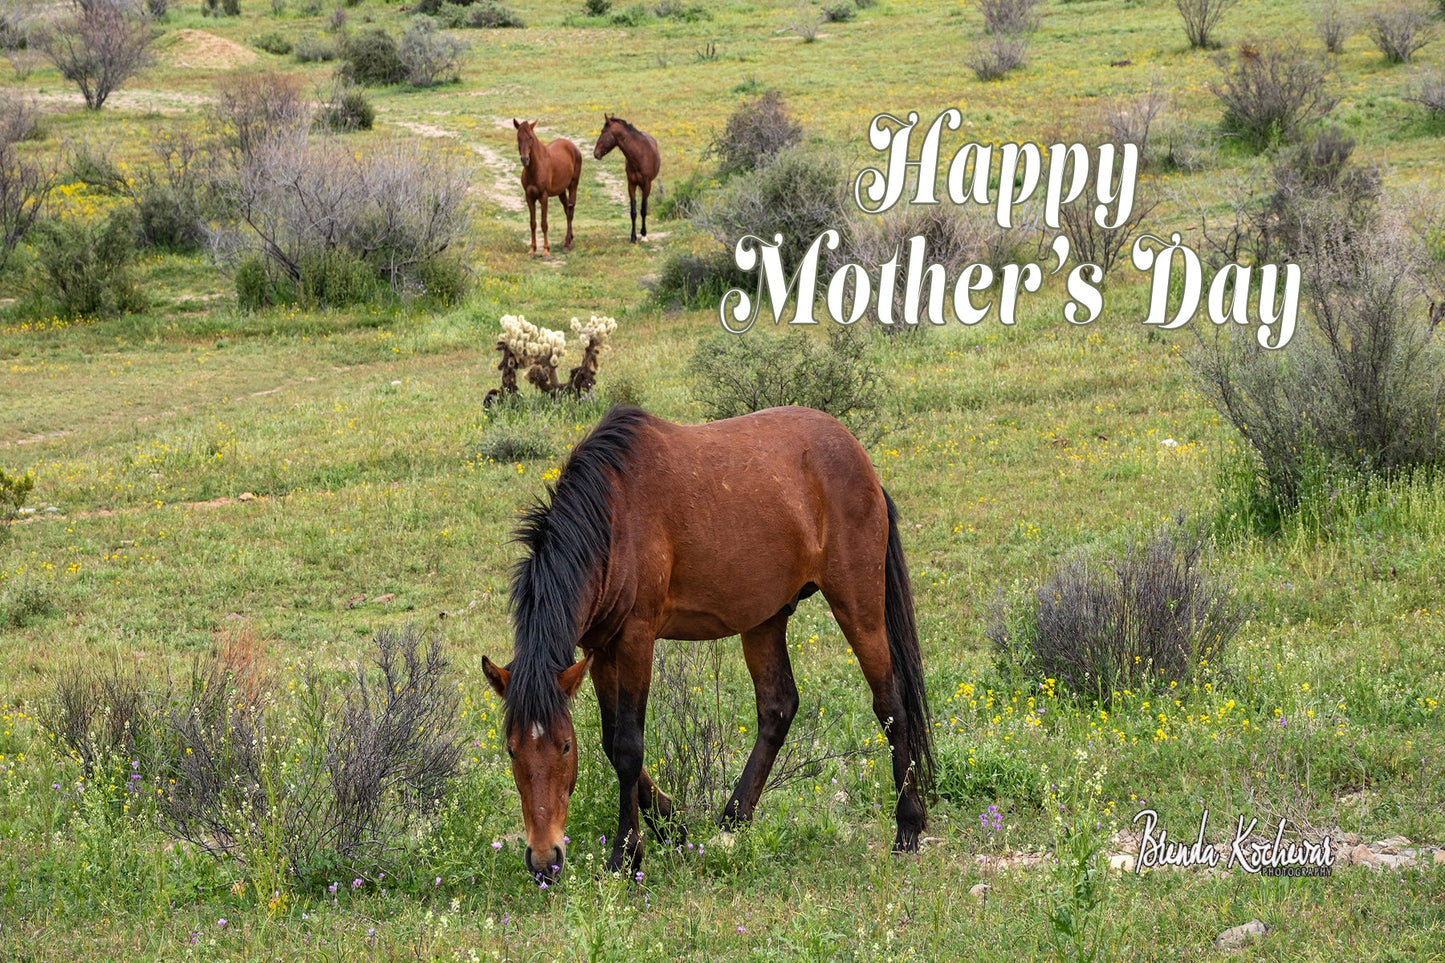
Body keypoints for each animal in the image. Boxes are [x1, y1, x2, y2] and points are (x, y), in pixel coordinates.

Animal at [482, 405, 935, 881]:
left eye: (565, 747)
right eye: (511, 750)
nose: (544, 860)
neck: (612, 517)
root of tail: (860, 460)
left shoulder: (636, 639)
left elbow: (627, 747)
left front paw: (626, 854)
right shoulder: (601, 650)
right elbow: (610, 742)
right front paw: (672, 825)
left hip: (857, 605)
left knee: (890, 705)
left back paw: (907, 826)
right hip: (765, 618)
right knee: (778, 708)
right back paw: (735, 817)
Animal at [513, 119, 582, 257]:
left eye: (530, 137)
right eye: (518, 137)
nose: (525, 159)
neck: (536, 168)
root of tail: (573, 146)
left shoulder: (543, 197)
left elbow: (544, 223)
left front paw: (546, 251)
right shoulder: (529, 197)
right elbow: (533, 223)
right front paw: (532, 250)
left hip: (573, 185)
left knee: (570, 211)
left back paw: (567, 244)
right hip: (561, 191)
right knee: (567, 210)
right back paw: (570, 239)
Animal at [591, 115, 661, 244]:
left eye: (603, 132)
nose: (596, 154)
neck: (639, 156)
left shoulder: (646, 185)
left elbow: (643, 210)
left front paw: (644, 234)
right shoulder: (631, 184)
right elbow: (633, 211)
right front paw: (633, 237)